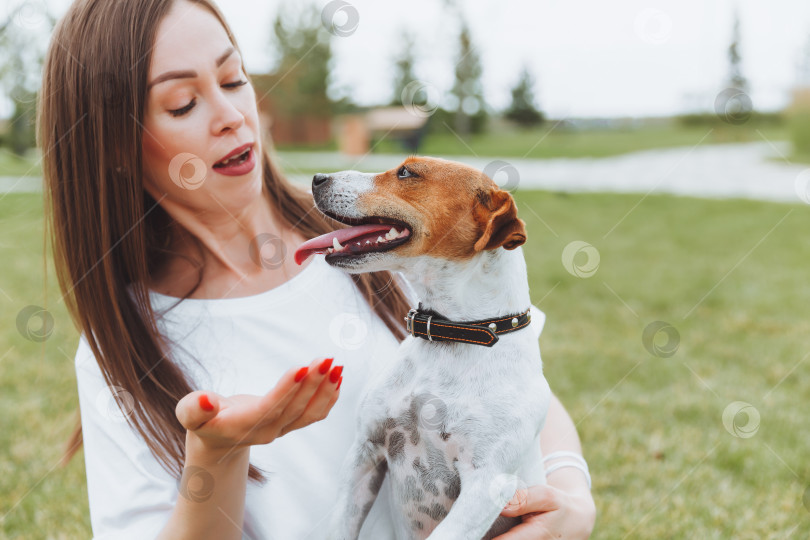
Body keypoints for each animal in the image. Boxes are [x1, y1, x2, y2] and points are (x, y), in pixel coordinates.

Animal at [292, 156, 548, 540]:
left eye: (406, 172)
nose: (317, 178)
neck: (453, 335)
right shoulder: (365, 451)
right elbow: (340, 524)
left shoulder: (487, 484)